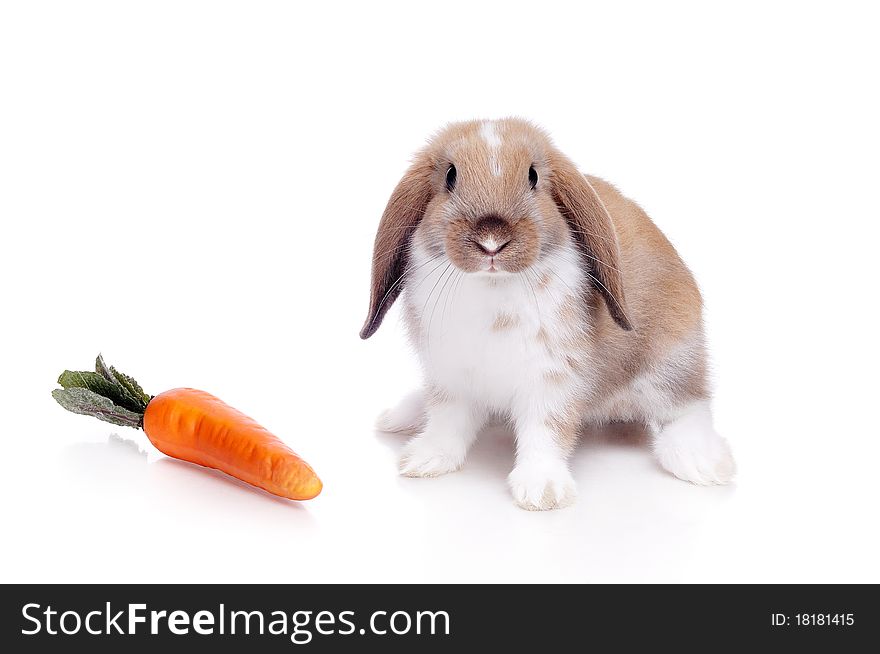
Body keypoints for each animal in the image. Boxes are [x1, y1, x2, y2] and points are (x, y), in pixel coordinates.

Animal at [358, 121, 736, 512]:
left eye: (533, 176)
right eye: (450, 175)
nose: (491, 240)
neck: (492, 287)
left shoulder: (552, 377)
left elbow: (547, 430)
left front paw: (542, 491)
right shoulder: (451, 376)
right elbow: (448, 420)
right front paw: (425, 459)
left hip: (667, 366)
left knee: (690, 406)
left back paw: (702, 462)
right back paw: (398, 417)